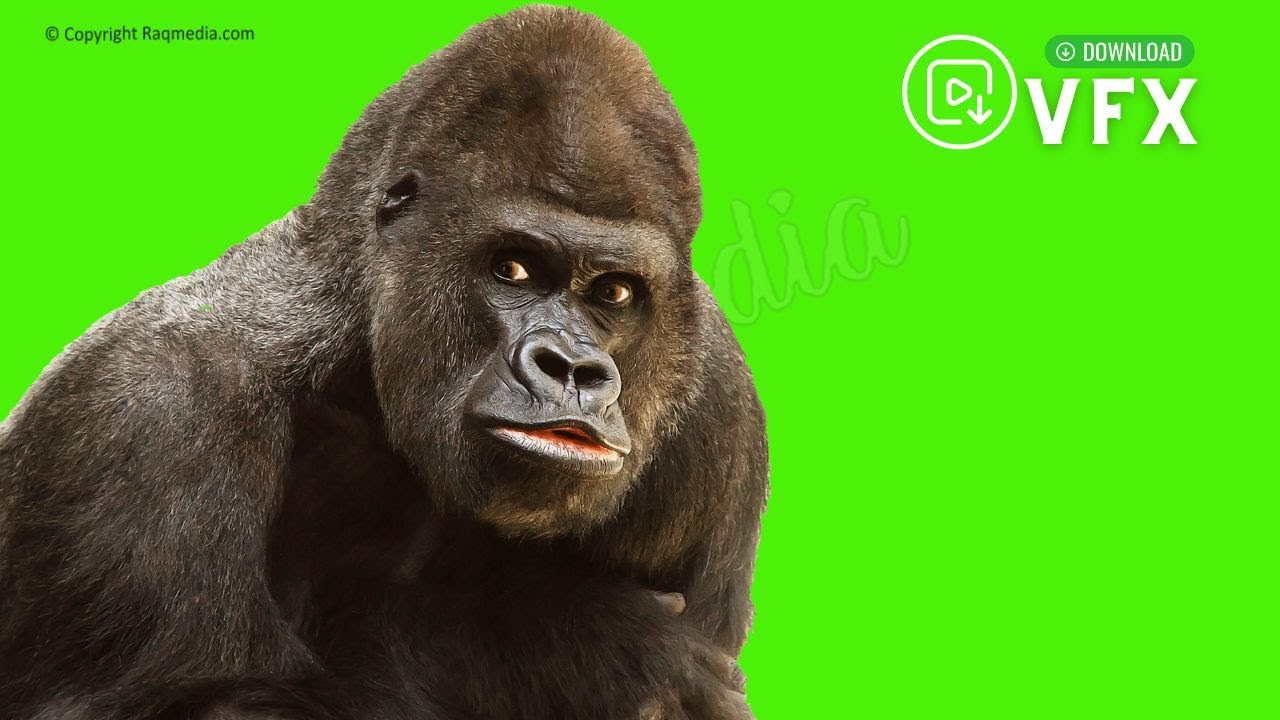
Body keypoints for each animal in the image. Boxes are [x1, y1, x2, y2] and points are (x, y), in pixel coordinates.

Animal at [0, 6, 767, 719]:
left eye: (615, 293)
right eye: (512, 268)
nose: (573, 370)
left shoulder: (718, 407)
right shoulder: (151, 407)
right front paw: (576, 645)